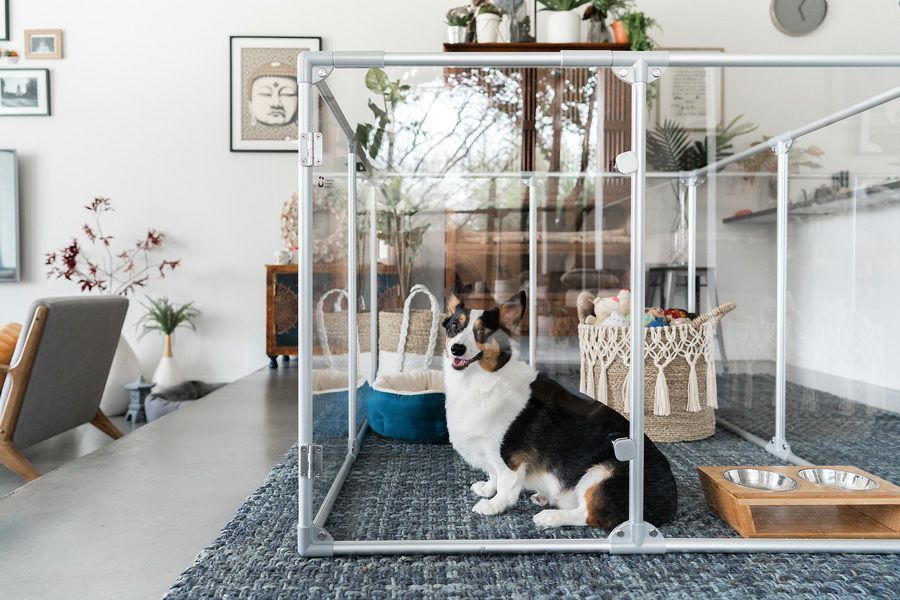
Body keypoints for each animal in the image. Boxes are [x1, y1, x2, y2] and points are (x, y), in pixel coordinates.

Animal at [442, 290, 678, 530]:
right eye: (454, 326)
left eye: (483, 332)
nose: (456, 349)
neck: (478, 380)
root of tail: (670, 503)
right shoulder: (490, 455)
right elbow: (493, 476)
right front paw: (487, 489)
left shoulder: (509, 460)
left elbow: (506, 487)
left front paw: (492, 505)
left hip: (602, 473)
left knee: (589, 515)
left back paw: (549, 517)